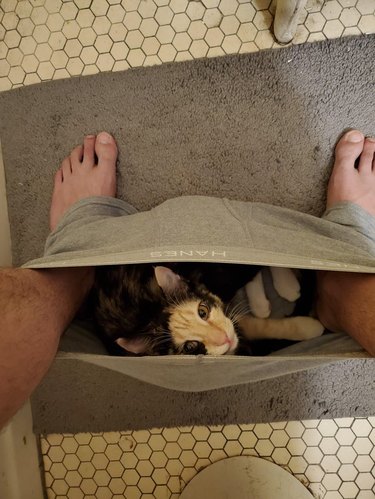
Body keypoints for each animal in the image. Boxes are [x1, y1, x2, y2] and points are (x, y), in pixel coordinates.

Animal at [92, 264, 324, 358]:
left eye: (202, 311)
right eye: (190, 346)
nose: (225, 338)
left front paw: (310, 327)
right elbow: (255, 326)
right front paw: (312, 327)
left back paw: (286, 285)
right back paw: (266, 301)